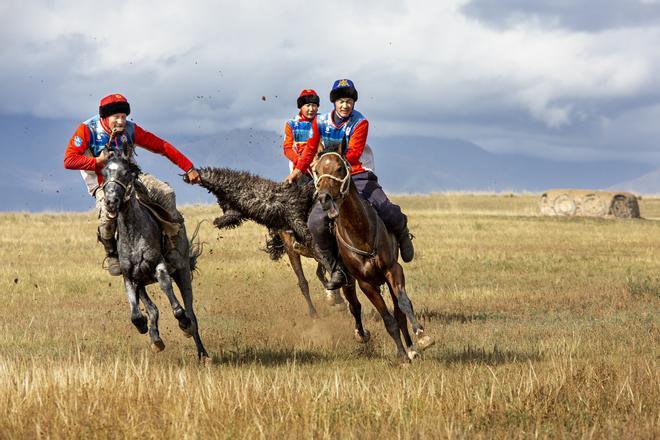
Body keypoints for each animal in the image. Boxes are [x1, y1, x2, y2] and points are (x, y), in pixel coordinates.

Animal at [102, 156, 209, 360]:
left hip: (182, 271)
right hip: (143, 282)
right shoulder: (130, 277)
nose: (111, 201)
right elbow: (136, 313)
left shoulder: (159, 266)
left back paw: (202, 352)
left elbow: (173, 299)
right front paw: (144, 326)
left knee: (191, 312)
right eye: (104, 173)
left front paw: (182, 322)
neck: (134, 234)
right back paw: (155, 338)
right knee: (152, 309)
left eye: (125, 173)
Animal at [314, 146, 434, 362]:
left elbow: (404, 304)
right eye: (317, 171)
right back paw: (361, 334)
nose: (324, 198)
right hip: (348, 281)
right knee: (354, 306)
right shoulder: (365, 283)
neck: (360, 232)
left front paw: (421, 336)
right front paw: (401, 356)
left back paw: (411, 348)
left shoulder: (393, 270)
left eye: (339, 168)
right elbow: (387, 320)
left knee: (398, 310)